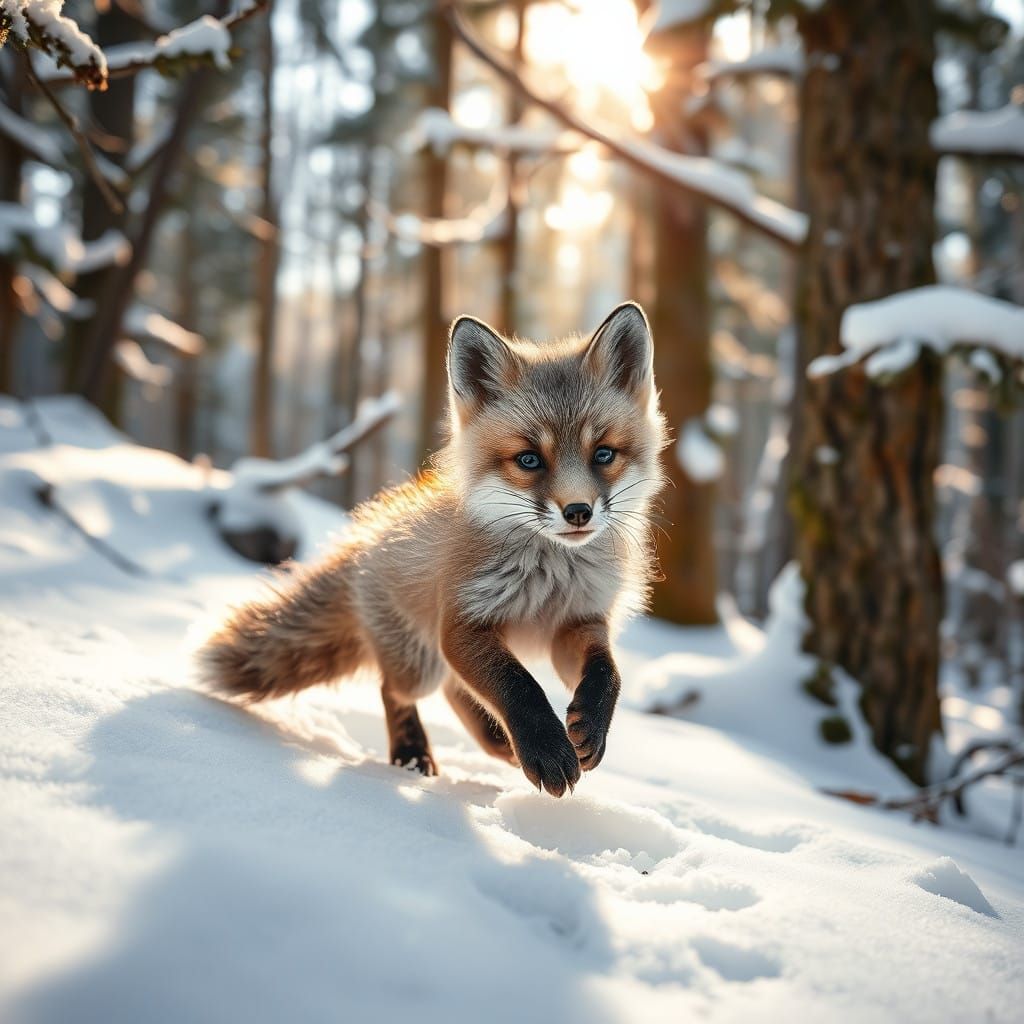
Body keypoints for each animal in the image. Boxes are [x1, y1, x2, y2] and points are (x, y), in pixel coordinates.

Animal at [197, 301, 667, 796]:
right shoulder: (460, 623)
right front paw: (545, 748)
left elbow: (607, 673)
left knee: (455, 689)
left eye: (604, 454)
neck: (552, 577)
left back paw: (497, 742)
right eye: (529, 459)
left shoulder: (577, 622)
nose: (578, 511)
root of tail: (366, 538)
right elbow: (516, 685)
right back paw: (413, 753)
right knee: (398, 689)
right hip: (418, 664)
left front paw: (589, 727)